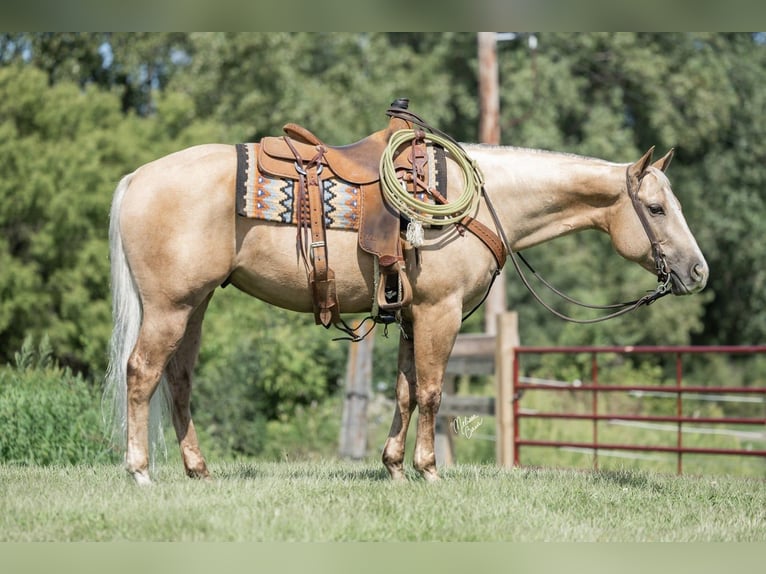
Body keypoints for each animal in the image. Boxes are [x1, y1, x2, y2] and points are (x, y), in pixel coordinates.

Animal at [105, 141, 712, 486]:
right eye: (656, 208)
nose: (699, 271)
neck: (480, 199)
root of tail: (137, 178)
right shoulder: (441, 313)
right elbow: (433, 394)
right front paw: (429, 471)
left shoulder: (411, 316)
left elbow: (403, 390)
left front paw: (394, 467)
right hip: (170, 308)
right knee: (142, 374)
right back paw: (140, 472)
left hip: (195, 305)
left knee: (178, 381)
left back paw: (197, 470)